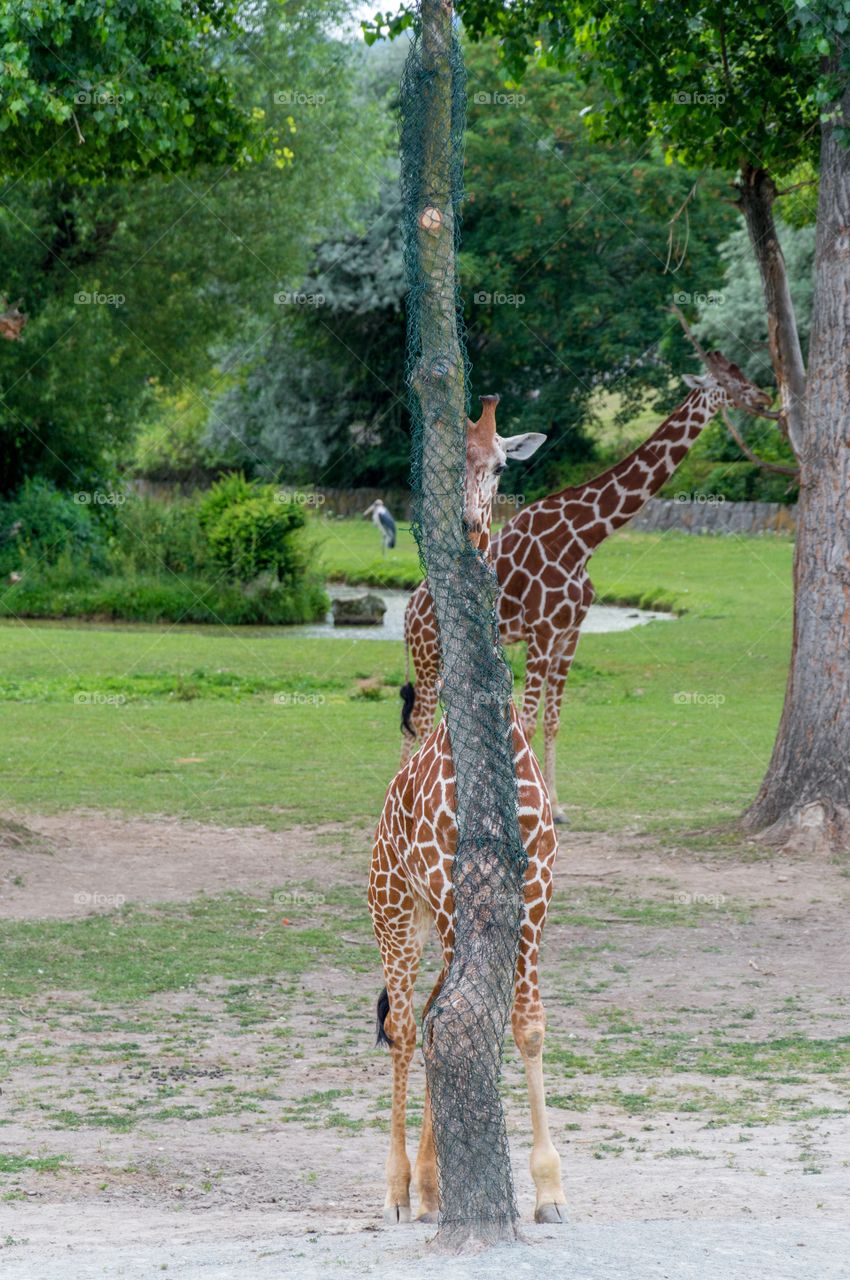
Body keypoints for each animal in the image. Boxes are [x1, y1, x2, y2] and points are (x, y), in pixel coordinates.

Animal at [401, 360, 773, 819]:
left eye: (742, 379)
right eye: (725, 383)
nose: (764, 398)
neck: (583, 538)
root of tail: (407, 609)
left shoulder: (570, 633)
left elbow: (554, 719)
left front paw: (557, 806)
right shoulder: (542, 632)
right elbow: (528, 720)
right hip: (427, 654)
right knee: (420, 720)